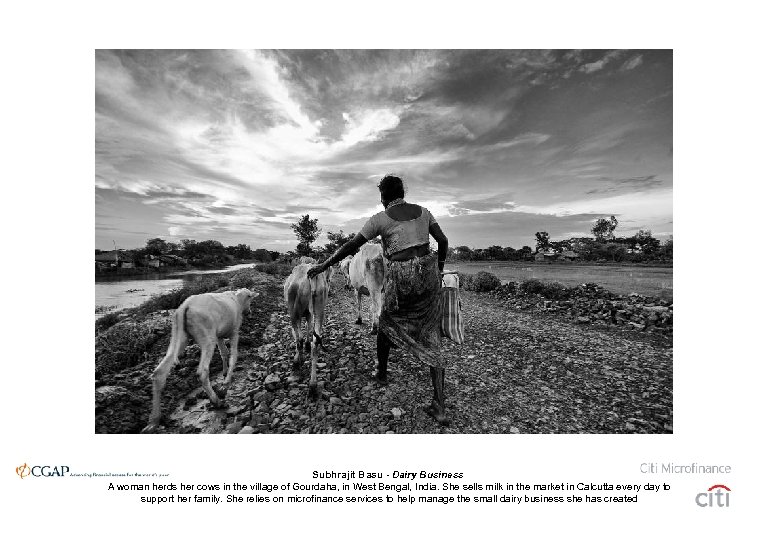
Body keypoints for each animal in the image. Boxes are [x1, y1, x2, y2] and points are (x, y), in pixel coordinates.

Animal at [149, 286, 262, 426]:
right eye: (250, 298)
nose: (249, 311)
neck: (238, 299)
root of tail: (185, 305)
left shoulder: (219, 336)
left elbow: (224, 353)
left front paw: (224, 372)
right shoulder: (234, 332)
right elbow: (234, 356)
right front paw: (226, 383)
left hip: (179, 337)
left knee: (159, 373)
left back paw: (154, 420)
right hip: (208, 338)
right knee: (202, 372)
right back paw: (217, 401)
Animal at [286, 262, 336, 396]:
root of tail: (312, 278)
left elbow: (298, 336)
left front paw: (296, 359)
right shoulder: (309, 313)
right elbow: (308, 327)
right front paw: (307, 345)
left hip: (294, 312)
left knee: (299, 339)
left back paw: (299, 363)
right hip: (319, 307)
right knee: (316, 342)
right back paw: (313, 384)